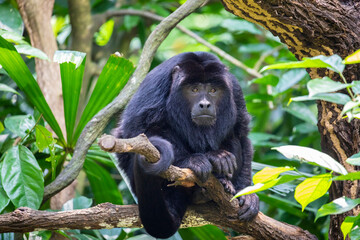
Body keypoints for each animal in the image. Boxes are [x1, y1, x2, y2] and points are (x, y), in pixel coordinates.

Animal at [115, 52, 258, 238]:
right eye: (194, 89)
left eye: (213, 90)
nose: (205, 104)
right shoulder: (156, 83)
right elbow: (136, 130)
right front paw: (200, 160)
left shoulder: (235, 88)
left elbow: (242, 134)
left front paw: (246, 194)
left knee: (233, 138)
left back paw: (219, 184)